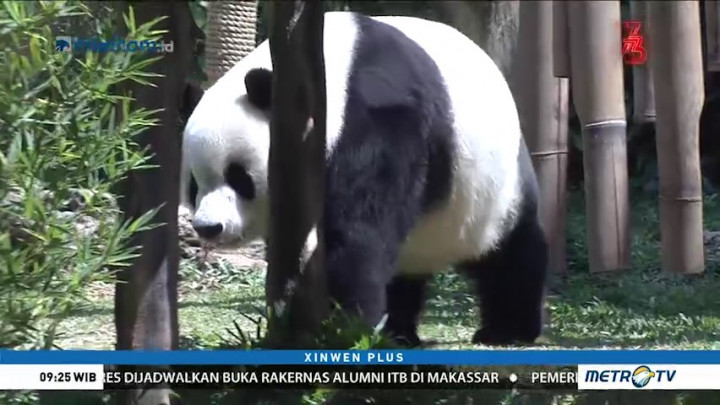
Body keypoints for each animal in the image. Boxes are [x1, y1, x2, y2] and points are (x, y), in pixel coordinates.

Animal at [181, 11, 548, 346]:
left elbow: (359, 232)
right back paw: (399, 331)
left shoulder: (377, 118)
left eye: (239, 177)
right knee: (403, 274)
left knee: (511, 254)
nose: (209, 227)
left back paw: (508, 330)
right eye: (194, 183)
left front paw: (343, 327)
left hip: (489, 193)